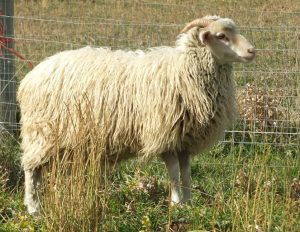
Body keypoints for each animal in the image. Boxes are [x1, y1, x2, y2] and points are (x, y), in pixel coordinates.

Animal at [17, 15, 255, 216]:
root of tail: (31, 77)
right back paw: (34, 209)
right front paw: (177, 203)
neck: (183, 69)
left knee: (42, 170)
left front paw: (188, 203)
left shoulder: (184, 139)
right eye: (221, 36)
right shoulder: (165, 134)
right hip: (42, 132)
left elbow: (186, 173)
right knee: (30, 169)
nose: (252, 51)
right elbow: (174, 172)